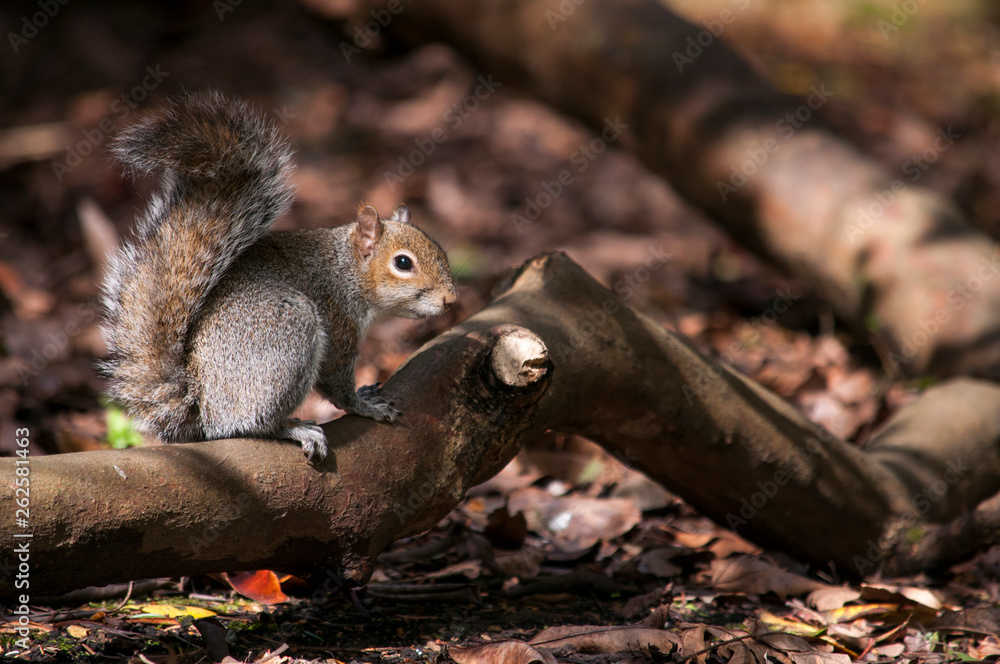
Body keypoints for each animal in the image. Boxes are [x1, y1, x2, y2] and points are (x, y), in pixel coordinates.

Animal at [101, 91, 457, 461]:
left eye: (440, 251)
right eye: (403, 263)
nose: (451, 299)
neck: (345, 270)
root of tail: (203, 405)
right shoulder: (338, 321)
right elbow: (337, 383)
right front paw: (366, 406)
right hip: (289, 336)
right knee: (250, 423)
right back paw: (292, 428)